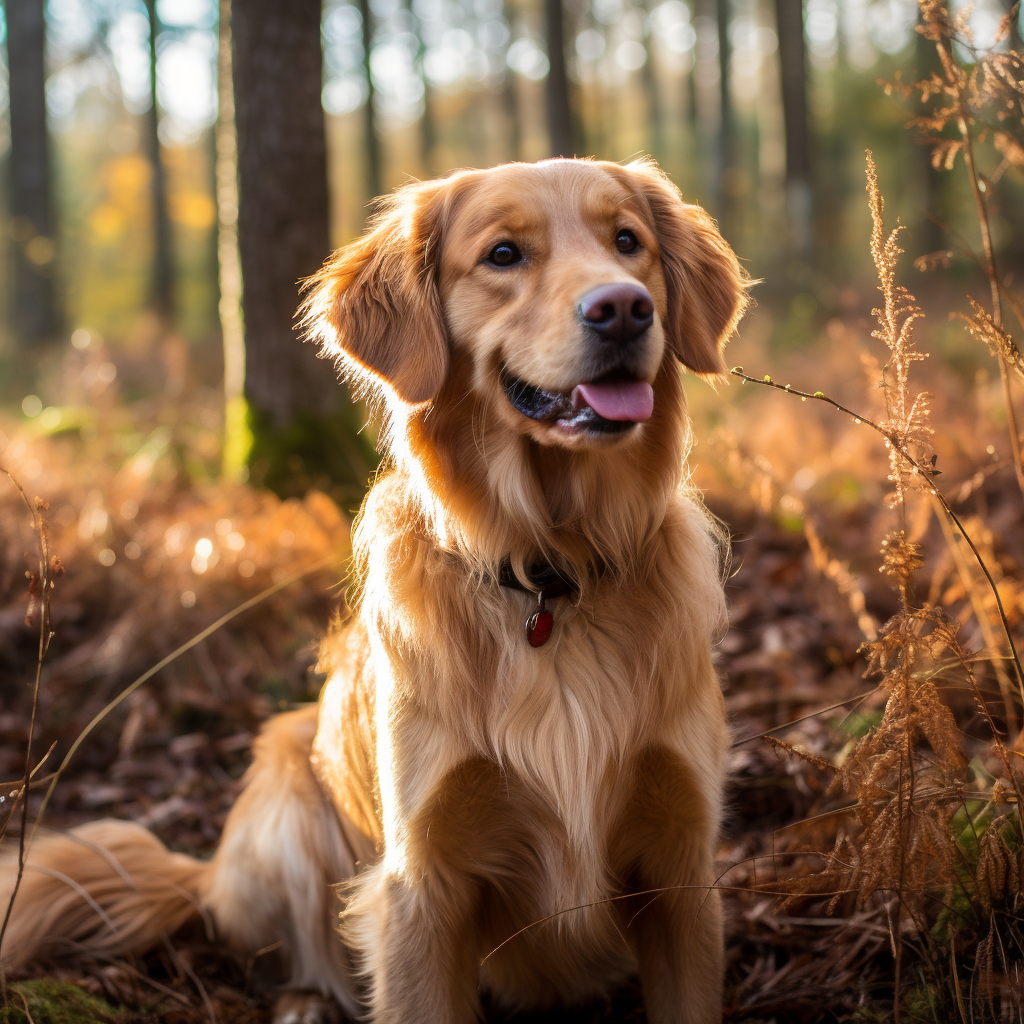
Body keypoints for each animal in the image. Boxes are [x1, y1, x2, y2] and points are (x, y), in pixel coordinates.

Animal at [4, 157, 749, 1024]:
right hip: (288, 790)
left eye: (627, 242)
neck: (549, 575)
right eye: (503, 255)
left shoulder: (681, 870)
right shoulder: (419, 882)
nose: (624, 308)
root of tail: (208, 873)